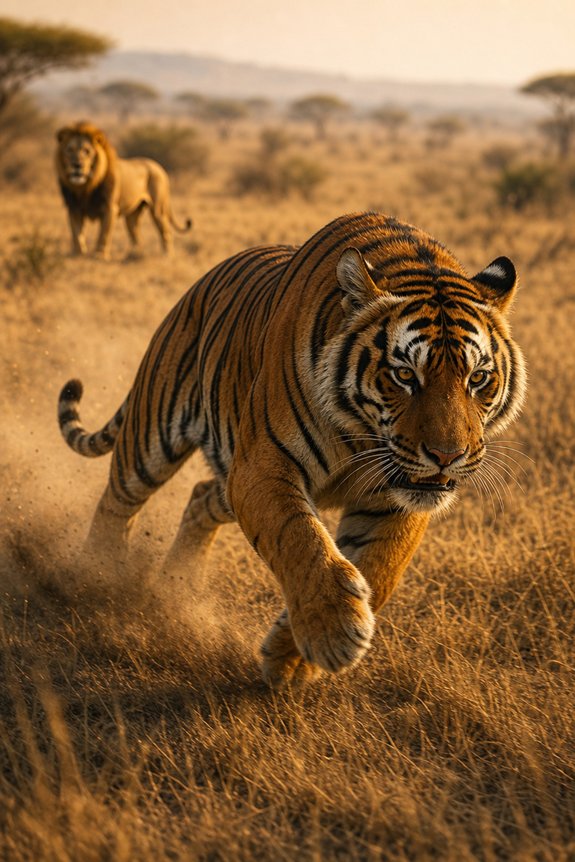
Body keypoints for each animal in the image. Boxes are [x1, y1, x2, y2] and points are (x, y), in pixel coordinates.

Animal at [56, 121, 192, 260]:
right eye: (69, 150)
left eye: (87, 151)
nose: (77, 165)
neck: (85, 187)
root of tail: (158, 166)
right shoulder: (73, 207)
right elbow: (76, 233)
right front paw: (77, 254)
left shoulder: (110, 208)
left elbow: (104, 233)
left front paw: (99, 255)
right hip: (132, 214)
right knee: (136, 235)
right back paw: (136, 253)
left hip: (157, 209)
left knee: (165, 231)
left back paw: (167, 255)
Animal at [58, 212, 526, 688]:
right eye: (404, 375)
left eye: (478, 378)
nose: (447, 456)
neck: (362, 435)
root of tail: (199, 283)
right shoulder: (262, 465)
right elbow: (301, 539)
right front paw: (332, 632)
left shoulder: (394, 501)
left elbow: (380, 568)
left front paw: (291, 661)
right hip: (153, 434)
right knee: (116, 502)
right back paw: (96, 579)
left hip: (224, 475)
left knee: (199, 497)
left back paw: (177, 583)